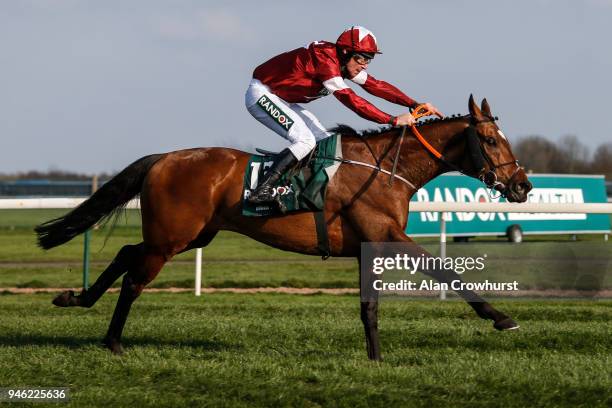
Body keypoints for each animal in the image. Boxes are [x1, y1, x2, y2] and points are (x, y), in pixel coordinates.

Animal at [34, 95, 532, 360]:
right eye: (490, 140)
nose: (523, 186)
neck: (383, 168)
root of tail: (163, 158)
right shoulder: (387, 236)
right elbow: (447, 272)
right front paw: (501, 318)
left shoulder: (369, 245)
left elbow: (370, 306)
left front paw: (374, 358)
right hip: (172, 239)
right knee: (135, 280)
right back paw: (113, 341)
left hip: (191, 234)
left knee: (125, 254)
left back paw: (76, 299)